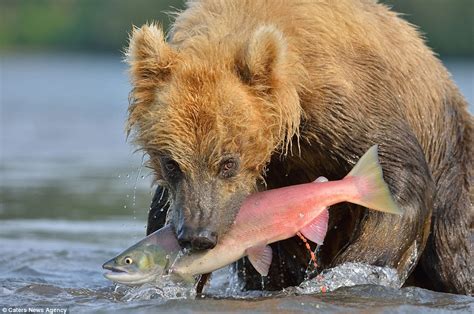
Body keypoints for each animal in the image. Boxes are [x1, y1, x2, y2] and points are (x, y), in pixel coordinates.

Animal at [125, 0, 470, 294]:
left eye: (228, 162)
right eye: (171, 163)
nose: (197, 235)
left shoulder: (347, 102)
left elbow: (398, 177)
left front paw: (351, 270)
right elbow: (162, 211)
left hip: (454, 167)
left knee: (455, 250)